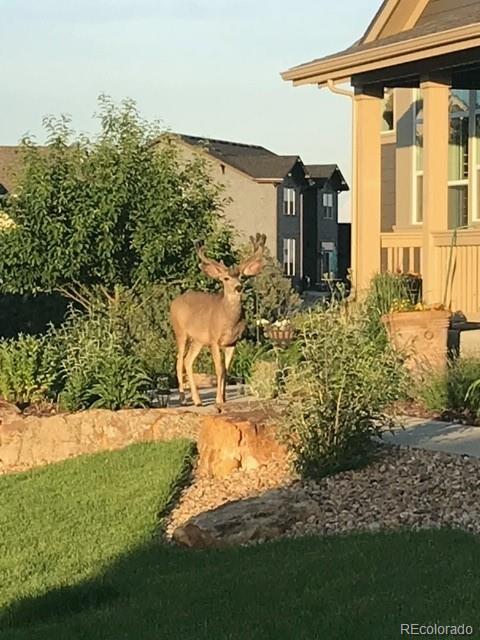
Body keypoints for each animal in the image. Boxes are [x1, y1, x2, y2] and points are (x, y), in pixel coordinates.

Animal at [169, 232, 266, 408]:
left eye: (242, 276)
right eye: (226, 278)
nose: (238, 287)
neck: (228, 320)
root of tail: (174, 302)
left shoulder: (232, 342)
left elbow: (226, 370)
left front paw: (224, 398)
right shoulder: (214, 340)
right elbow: (219, 369)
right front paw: (218, 400)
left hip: (198, 340)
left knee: (187, 361)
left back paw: (197, 400)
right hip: (180, 331)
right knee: (179, 361)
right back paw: (183, 399)